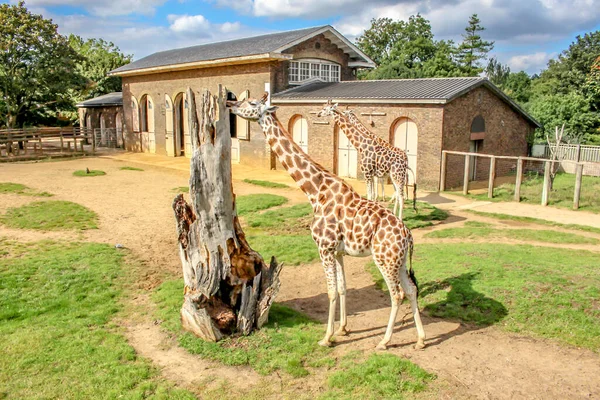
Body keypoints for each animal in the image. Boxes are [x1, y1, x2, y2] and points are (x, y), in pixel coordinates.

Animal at [226, 94, 426, 350]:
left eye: (251, 104)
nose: (231, 104)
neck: (315, 192)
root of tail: (408, 236)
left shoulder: (324, 247)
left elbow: (330, 291)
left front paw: (327, 337)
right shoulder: (338, 251)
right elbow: (342, 288)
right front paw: (343, 328)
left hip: (385, 260)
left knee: (397, 294)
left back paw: (384, 341)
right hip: (397, 262)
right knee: (411, 290)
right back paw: (420, 340)